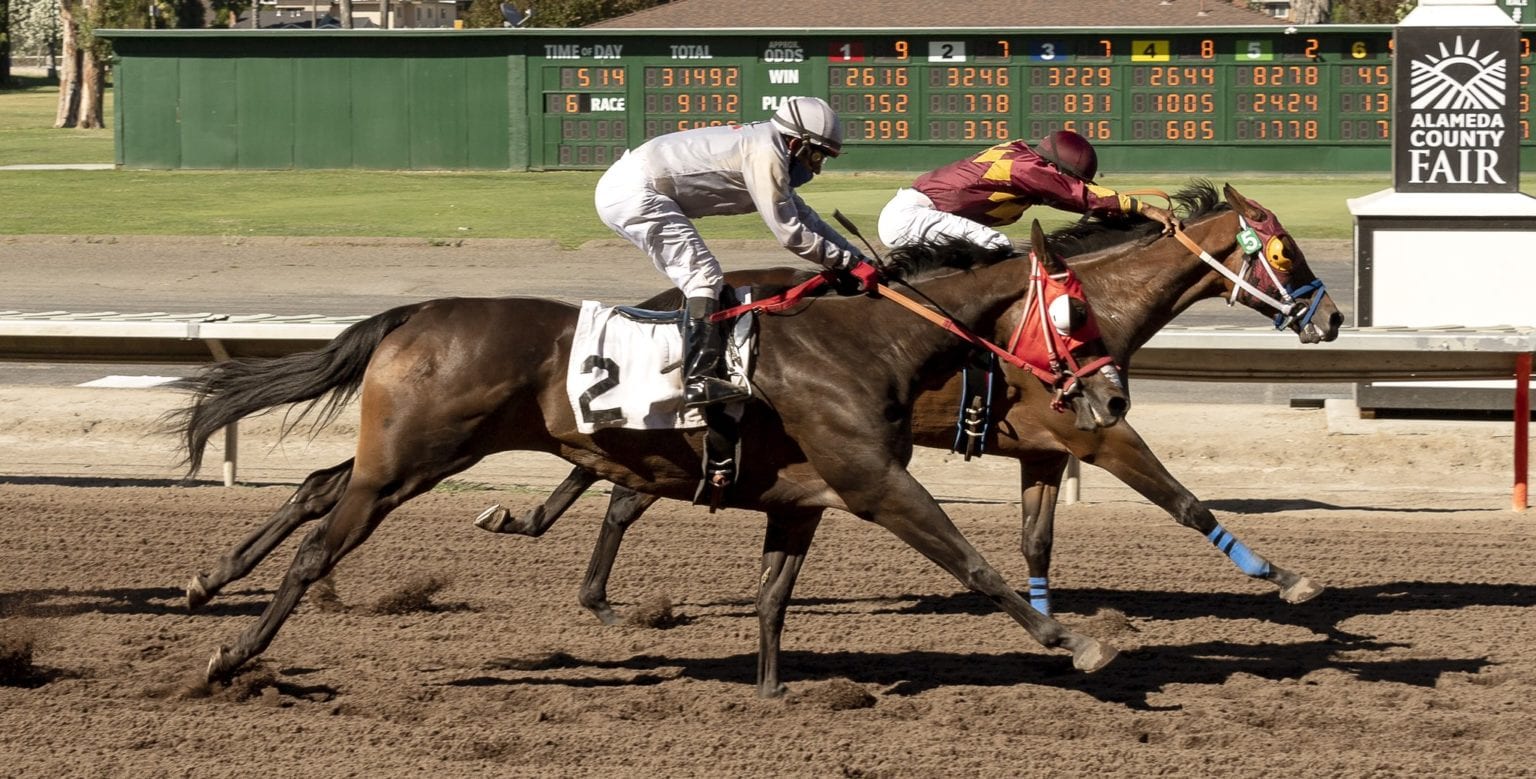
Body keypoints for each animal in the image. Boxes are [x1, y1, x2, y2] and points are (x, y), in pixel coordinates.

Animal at [174, 218, 1130, 694]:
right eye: (1077, 314)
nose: (1115, 398)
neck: (865, 341)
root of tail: (420, 310)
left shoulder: (802, 499)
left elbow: (772, 597)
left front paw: (774, 692)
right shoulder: (874, 482)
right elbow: (975, 563)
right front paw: (1075, 641)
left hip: (411, 455)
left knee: (312, 486)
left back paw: (207, 581)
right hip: (408, 462)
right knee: (316, 548)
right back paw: (233, 655)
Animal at [473, 179, 1339, 623]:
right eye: (1287, 250)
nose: (1330, 318)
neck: (1088, 305)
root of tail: (668, 301)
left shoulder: (1046, 447)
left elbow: (1036, 542)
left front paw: (1047, 615)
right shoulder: (1095, 435)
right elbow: (1186, 501)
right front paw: (1287, 576)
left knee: (614, 490)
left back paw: (566, 565)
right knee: (622, 500)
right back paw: (594, 591)